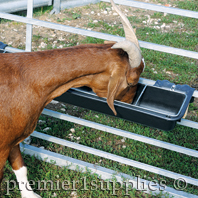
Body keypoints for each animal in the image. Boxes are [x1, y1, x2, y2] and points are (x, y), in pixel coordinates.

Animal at [0, 0, 145, 197]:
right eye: (131, 82)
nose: (130, 102)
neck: (26, 78)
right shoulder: (1, 146)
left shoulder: (13, 137)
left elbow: (20, 167)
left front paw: (30, 194)